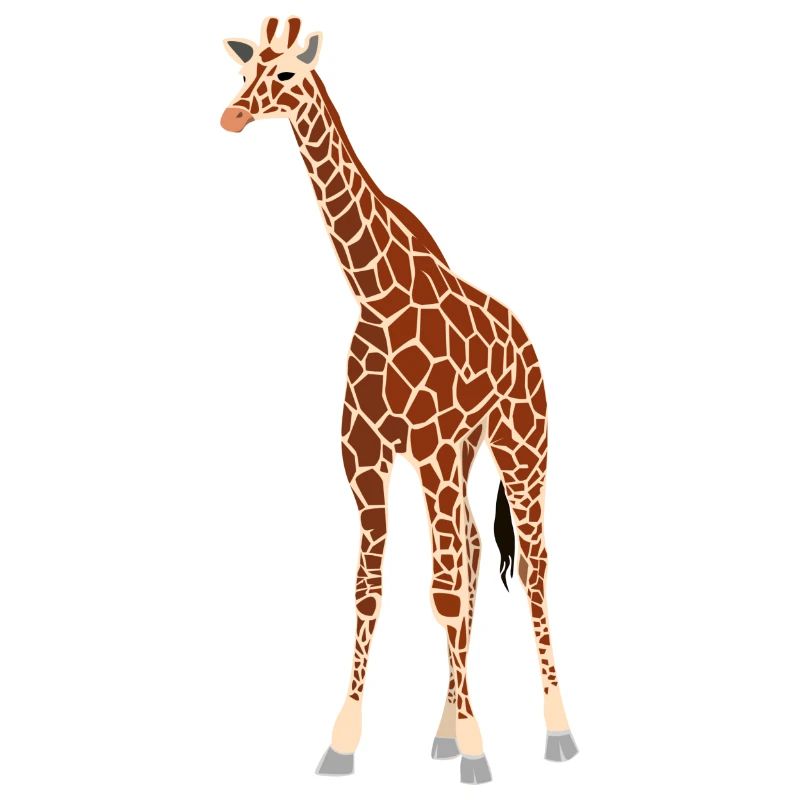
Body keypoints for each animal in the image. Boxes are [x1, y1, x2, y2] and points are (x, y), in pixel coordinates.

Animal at [220, 16, 578, 784]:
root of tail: (528, 341)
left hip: (520, 445)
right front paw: (344, 742)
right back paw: (443, 729)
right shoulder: (364, 455)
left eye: (287, 74)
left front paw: (478, 750)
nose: (232, 115)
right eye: (243, 70)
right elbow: (371, 587)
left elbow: (442, 591)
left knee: (530, 565)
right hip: (461, 456)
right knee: (471, 550)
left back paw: (556, 730)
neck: (378, 297)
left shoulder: (433, 447)